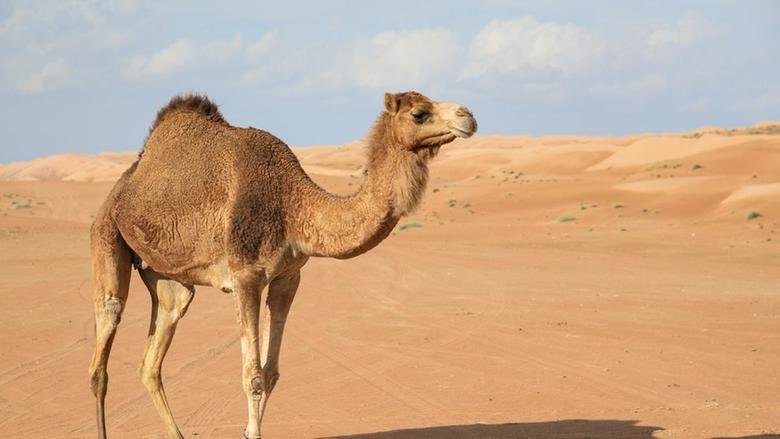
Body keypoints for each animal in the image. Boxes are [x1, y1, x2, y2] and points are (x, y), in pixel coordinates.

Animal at [88, 91, 477, 438]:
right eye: (419, 114)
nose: (468, 116)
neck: (292, 204)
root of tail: (126, 182)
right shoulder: (245, 276)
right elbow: (252, 377)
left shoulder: (288, 276)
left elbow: (271, 373)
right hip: (106, 235)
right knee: (102, 351)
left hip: (168, 279)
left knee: (152, 359)